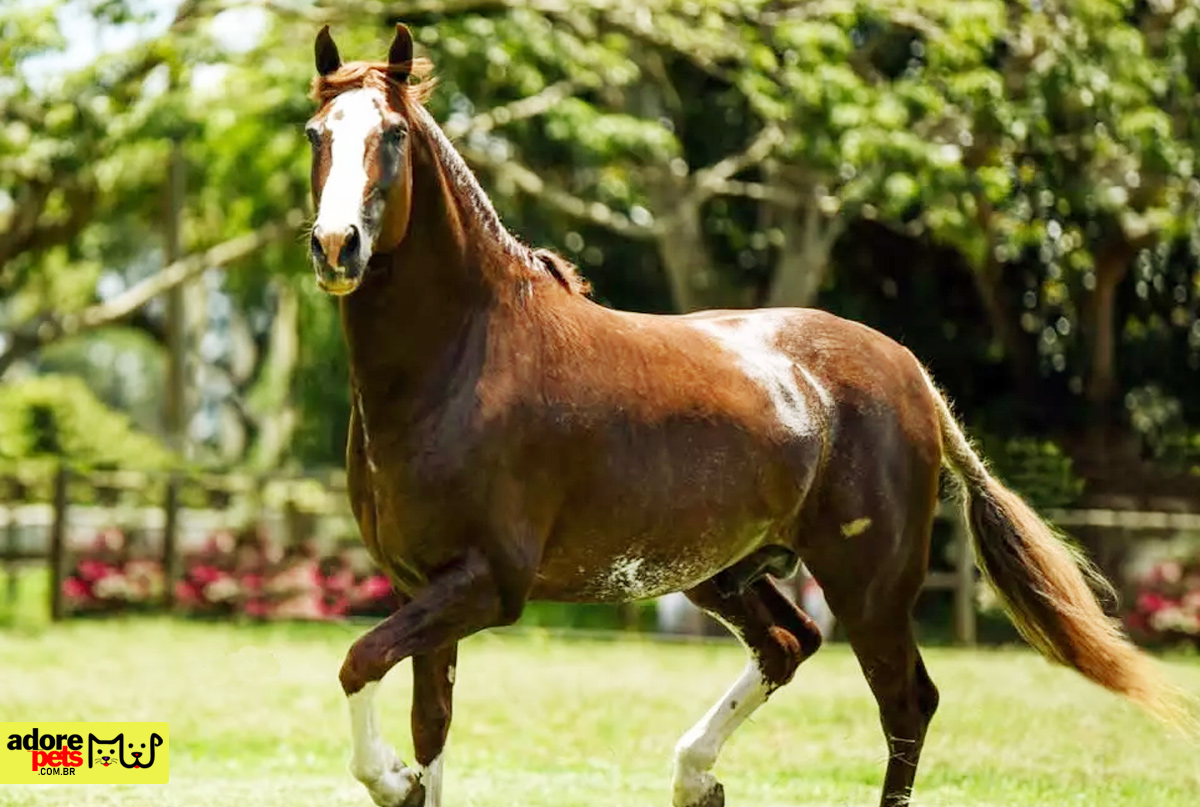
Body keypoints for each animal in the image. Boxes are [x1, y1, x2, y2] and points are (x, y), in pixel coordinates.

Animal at [304, 22, 1185, 806]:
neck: (464, 359)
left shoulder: (488, 582)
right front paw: (405, 775)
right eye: (316, 133)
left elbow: (358, 663)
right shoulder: (422, 585)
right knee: (791, 644)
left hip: (868, 585)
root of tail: (911, 372)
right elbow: (430, 730)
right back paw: (696, 777)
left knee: (906, 702)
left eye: (391, 136)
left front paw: (386, 775)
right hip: (725, 572)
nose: (336, 246)